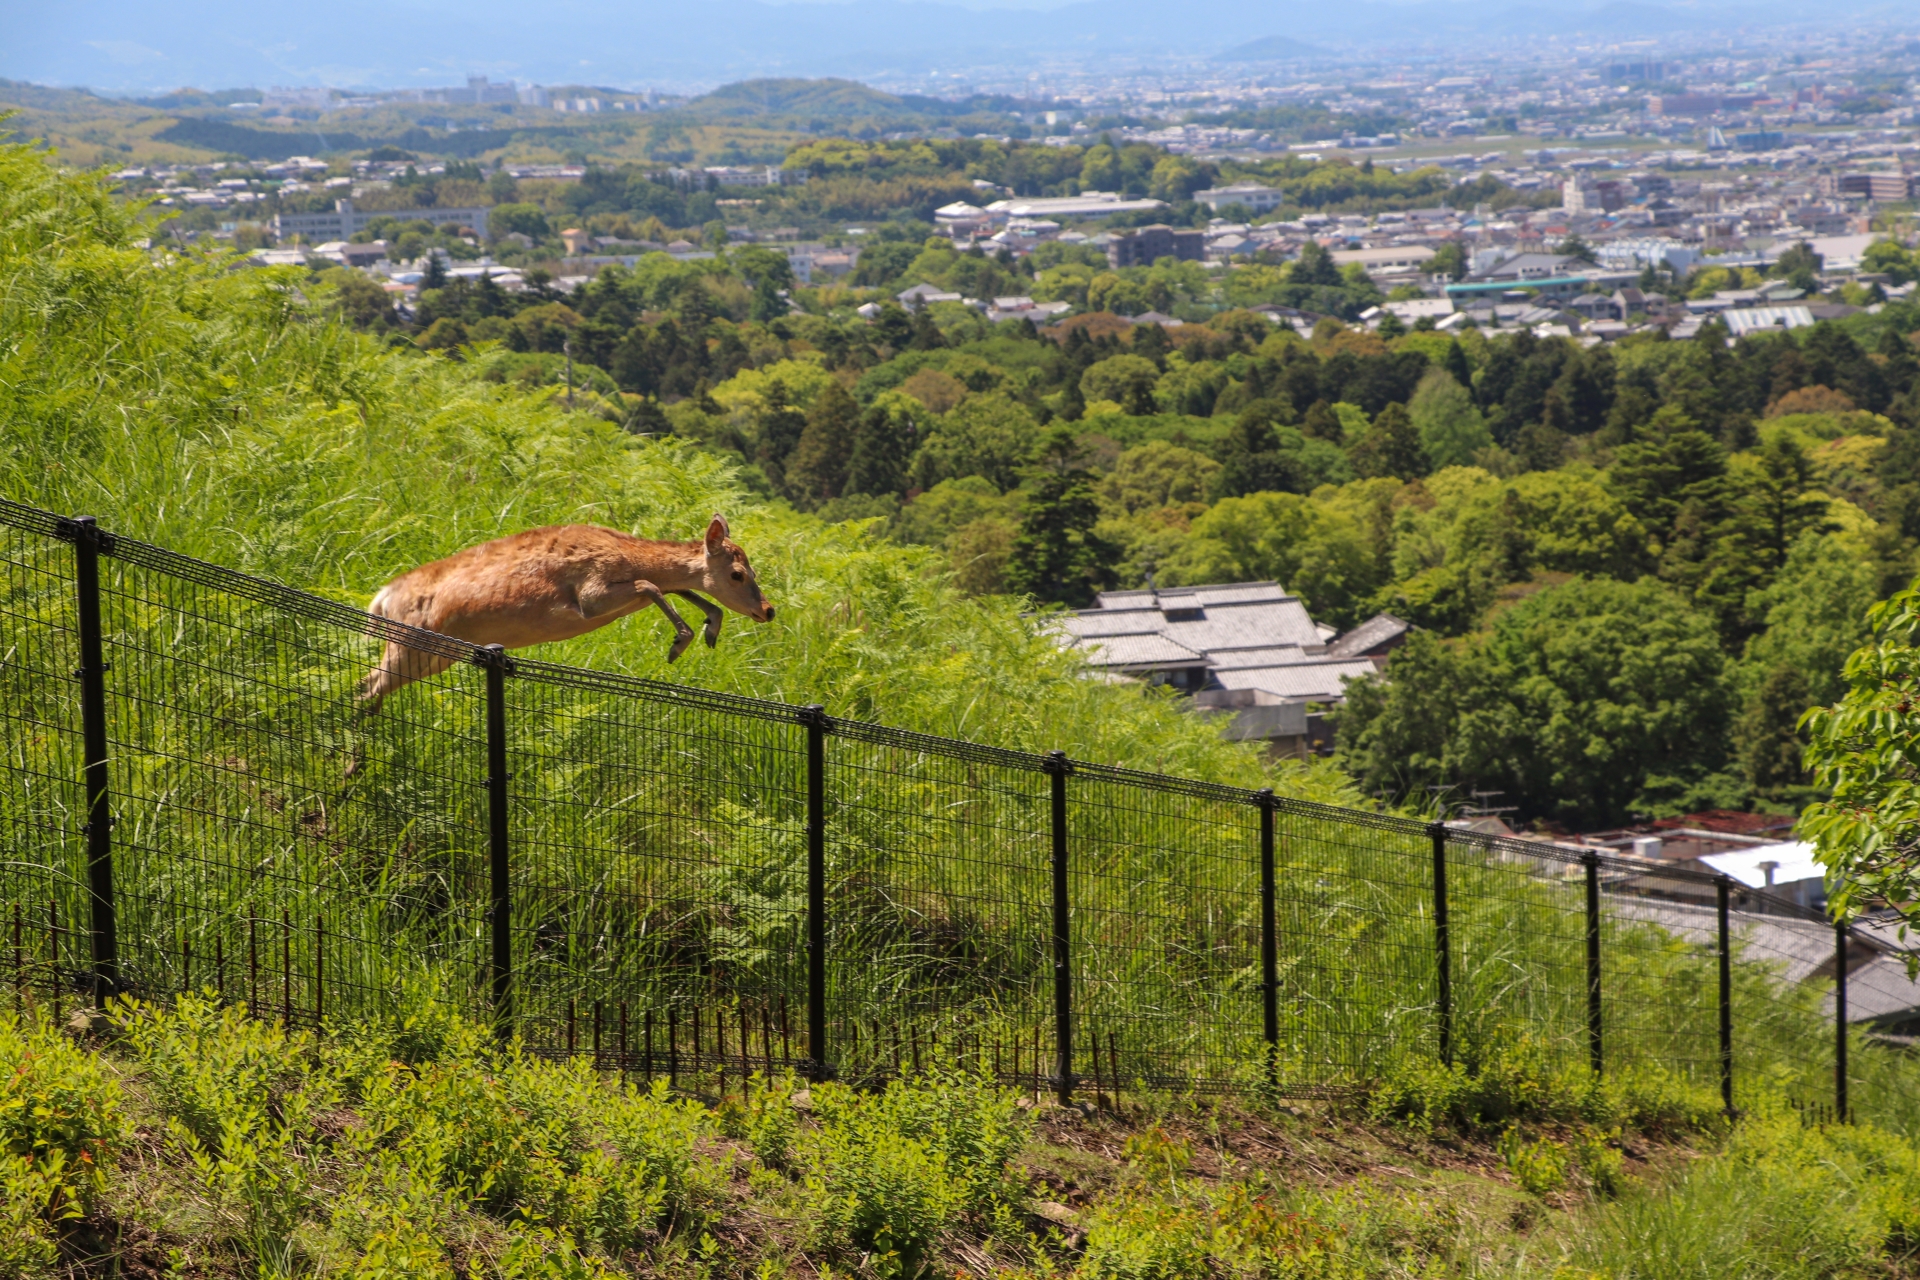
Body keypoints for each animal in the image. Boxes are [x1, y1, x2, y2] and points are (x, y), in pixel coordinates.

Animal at [357, 510, 775, 710]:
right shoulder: (591, 594)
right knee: (368, 684)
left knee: (369, 685)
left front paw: (710, 629)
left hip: (434, 654)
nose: (768, 610)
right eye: (737, 573)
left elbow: (678, 588)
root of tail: (382, 596)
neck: (629, 554)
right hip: (408, 642)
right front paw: (681, 641)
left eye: (753, 570)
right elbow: (652, 584)